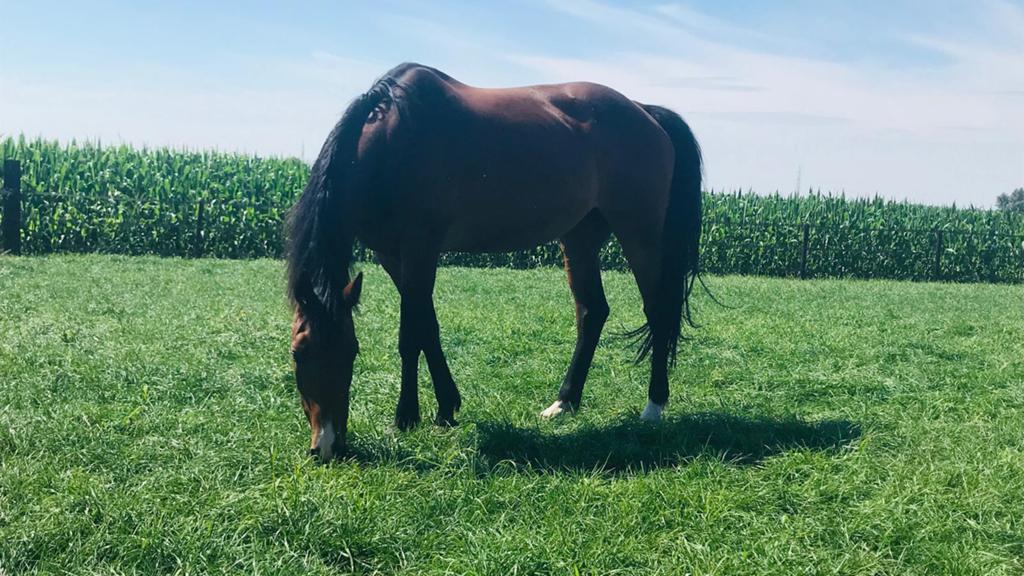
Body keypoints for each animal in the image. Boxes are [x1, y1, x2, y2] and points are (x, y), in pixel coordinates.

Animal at [287, 63, 703, 460]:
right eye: (297, 353)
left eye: (351, 351)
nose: (327, 446)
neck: (390, 145)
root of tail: (644, 111)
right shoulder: (392, 256)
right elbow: (428, 329)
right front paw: (445, 408)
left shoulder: (420, 249)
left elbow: (411, 336)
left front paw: (405, 418)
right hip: (580, 237)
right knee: (592, 312)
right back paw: (564, 402)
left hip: (640, 233)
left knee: (658, 311)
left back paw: (653, 407)